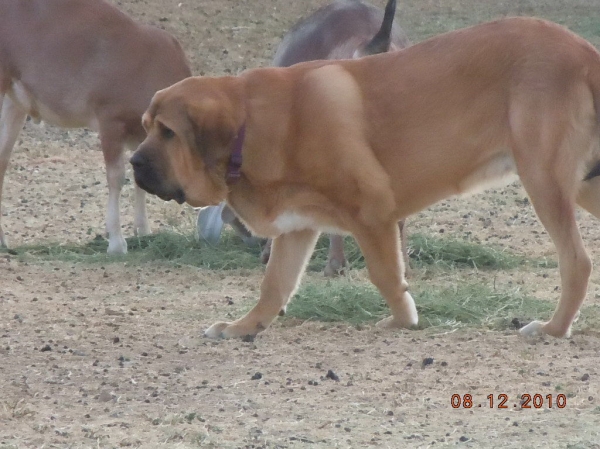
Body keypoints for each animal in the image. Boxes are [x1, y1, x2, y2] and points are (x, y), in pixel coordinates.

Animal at [134, 18, 600, 340]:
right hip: (580, 185)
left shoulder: (371, 212)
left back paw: (553, 329)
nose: (135, 164)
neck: (252, 127)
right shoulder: (298, 227)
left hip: (544, 180)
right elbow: (274, 286)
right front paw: (242, 327)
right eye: (146, 127)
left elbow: (385, 275)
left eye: (168, 132)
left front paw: (402, 320)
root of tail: (583, 52)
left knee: (576, 261)